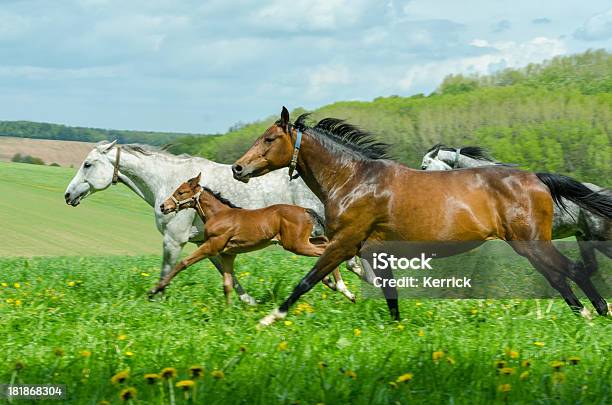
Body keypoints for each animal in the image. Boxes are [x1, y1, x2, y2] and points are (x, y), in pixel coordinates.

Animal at [149, 173, 356, 304]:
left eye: (181, 192)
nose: (163, 206)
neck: (218, 214)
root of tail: (306, 210)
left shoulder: (212, 246)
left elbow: (182, 263)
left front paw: (154, 290)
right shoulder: (227, 254)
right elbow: (227, 284)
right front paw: (228, 313)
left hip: (295, 244)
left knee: (324, 250)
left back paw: (342, 288)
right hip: (300, 241)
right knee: (325, 243)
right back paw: (335, 285)